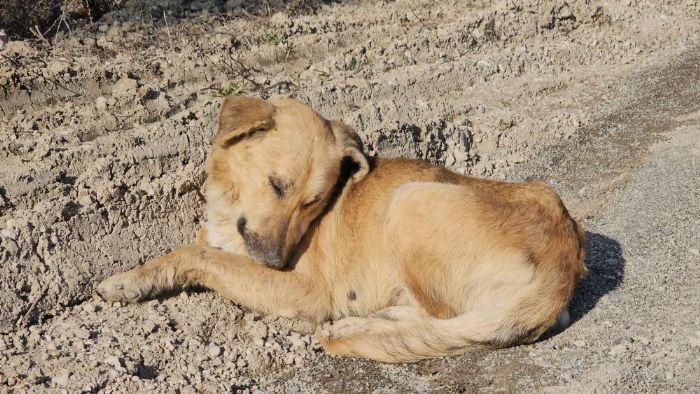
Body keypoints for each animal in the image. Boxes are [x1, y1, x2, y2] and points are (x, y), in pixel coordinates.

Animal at [98, 95, 588, 364]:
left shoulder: (304, 291)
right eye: (277, 185)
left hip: (410, 201)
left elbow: (196, 255)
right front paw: (137, 277)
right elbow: (197, 250)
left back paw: (356, 327)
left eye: (314, 202)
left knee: (444, 319)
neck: (229, 207)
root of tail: (564, 260)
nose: (275, 261)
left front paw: (127, 281)